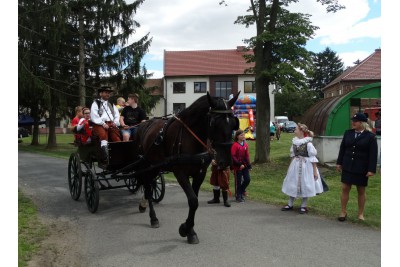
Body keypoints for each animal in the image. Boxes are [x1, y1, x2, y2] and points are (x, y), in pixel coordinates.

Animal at [131, 92, 239, 245]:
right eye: (214, 123)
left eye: (233, 123)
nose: (226, 161)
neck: (191, 138)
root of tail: (144, 124)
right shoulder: (180, 173)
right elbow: (193, 201)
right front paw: (185, 229)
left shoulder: (200, 173)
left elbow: (195, 201)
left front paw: (190, 231)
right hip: (147, 165)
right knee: (147, 187)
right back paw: (153, 218)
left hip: (155, 166)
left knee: (150, 186)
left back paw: (143, 205)